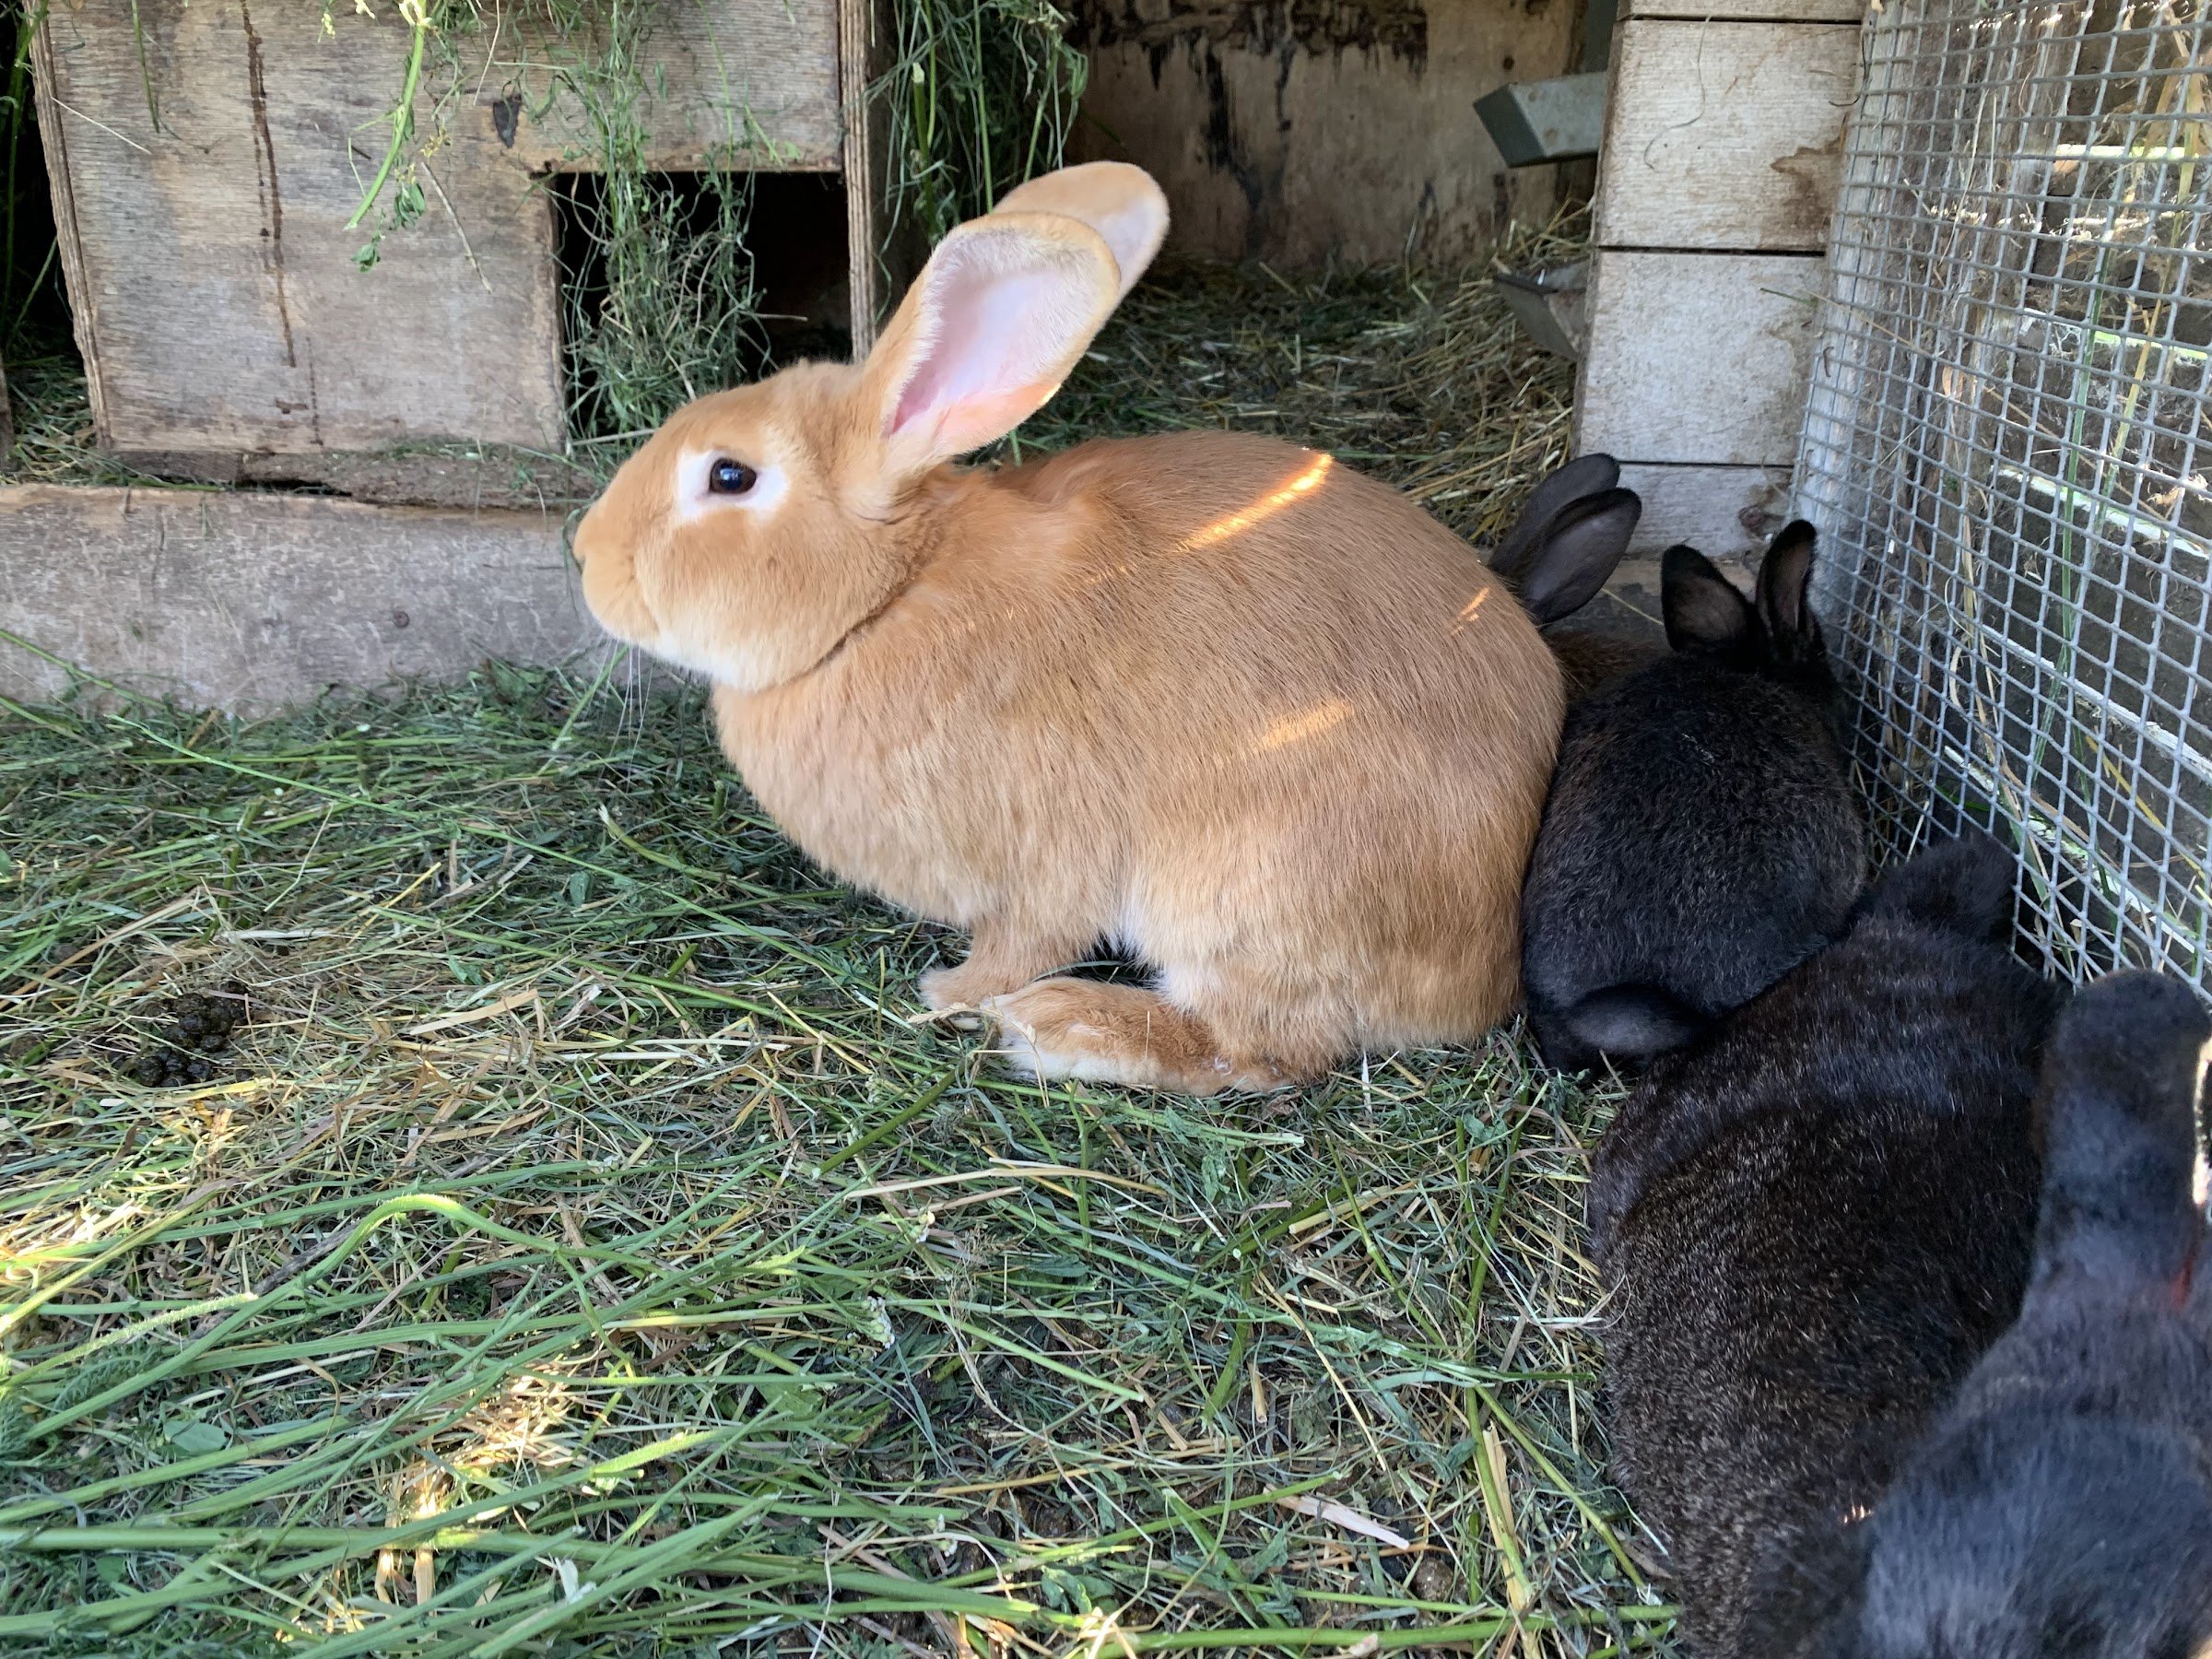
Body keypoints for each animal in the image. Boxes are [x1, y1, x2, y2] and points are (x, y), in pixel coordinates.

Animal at [570, 163, 1566, 1095]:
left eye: (729, 477)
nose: (586, 556)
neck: (890, 595)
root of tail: (1486, 969)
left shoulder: (1041, 865)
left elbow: (1026, 937)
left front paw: (953, 993)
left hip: (1245, 892)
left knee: (1258, 1048)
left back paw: (1059, 1027)